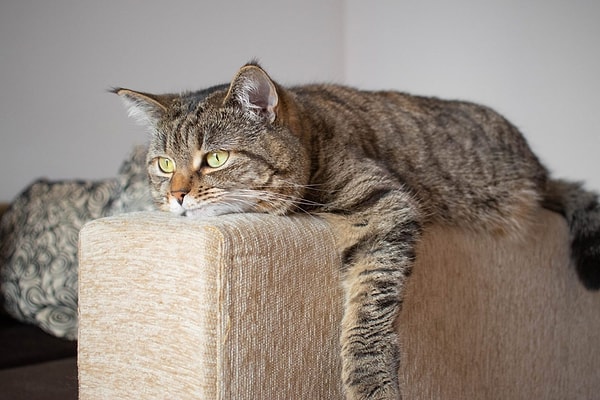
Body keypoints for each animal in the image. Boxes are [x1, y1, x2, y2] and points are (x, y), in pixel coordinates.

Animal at [113, 61, 600, 398]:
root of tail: (540, 171)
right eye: (164, 164)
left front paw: (369, 379)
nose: (176, 195)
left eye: (215, 158)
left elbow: (369, 312)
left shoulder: (385, 206)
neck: (313, 137)